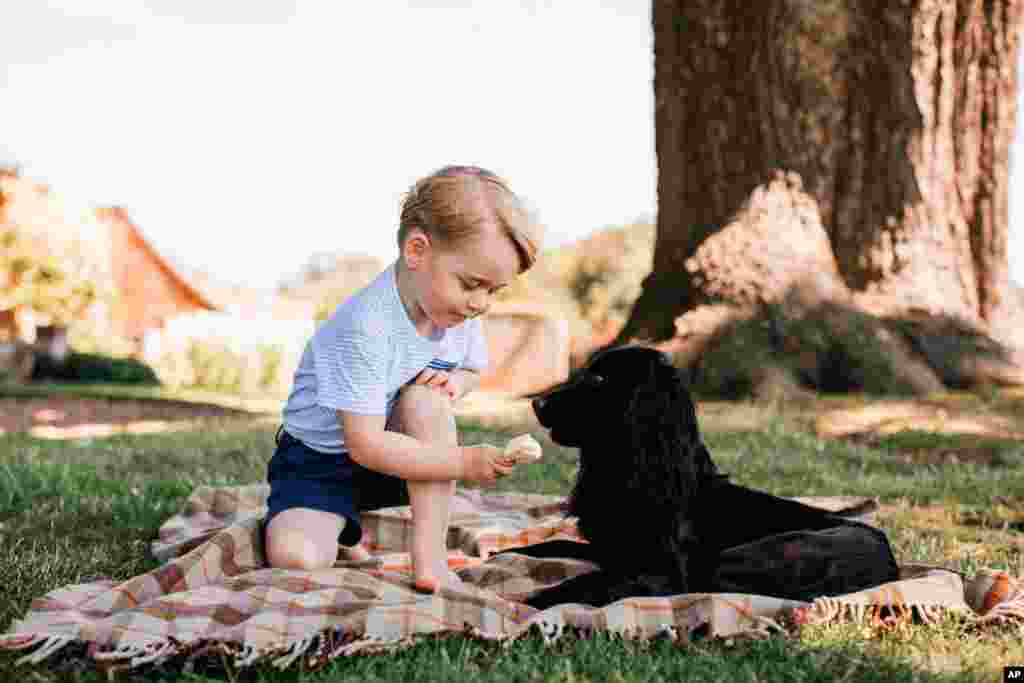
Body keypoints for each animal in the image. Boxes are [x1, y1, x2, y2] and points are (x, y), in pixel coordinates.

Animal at [503, 348, 897, 610]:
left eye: (599, 379)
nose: (536, 403)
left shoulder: (658, 570)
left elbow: (587, 581)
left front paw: (530, 600)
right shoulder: (610, 549)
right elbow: (549, 545)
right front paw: (505, 554)